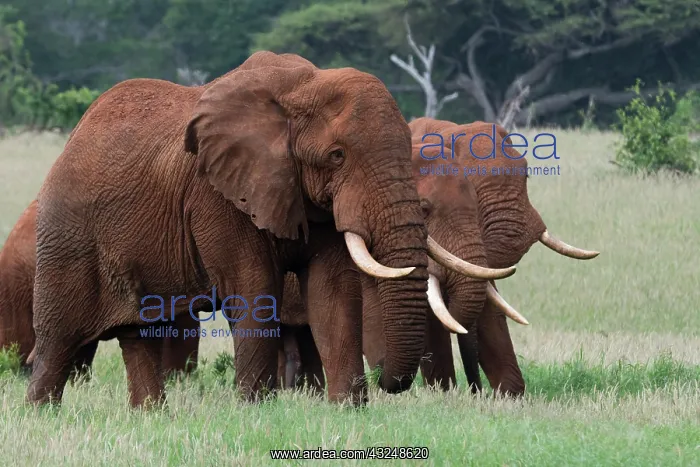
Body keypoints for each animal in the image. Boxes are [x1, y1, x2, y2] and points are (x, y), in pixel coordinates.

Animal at [27, 51, 498, 408]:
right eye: (337, 156)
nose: (388, 381)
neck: (300, 87)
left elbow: (331, 291)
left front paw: (349, 408)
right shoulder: (217, 195)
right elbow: (252, 287)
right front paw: (254, 408)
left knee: (139, 334)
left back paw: (151, 416)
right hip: (66, 234)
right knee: (57, 339)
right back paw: (42, 414)